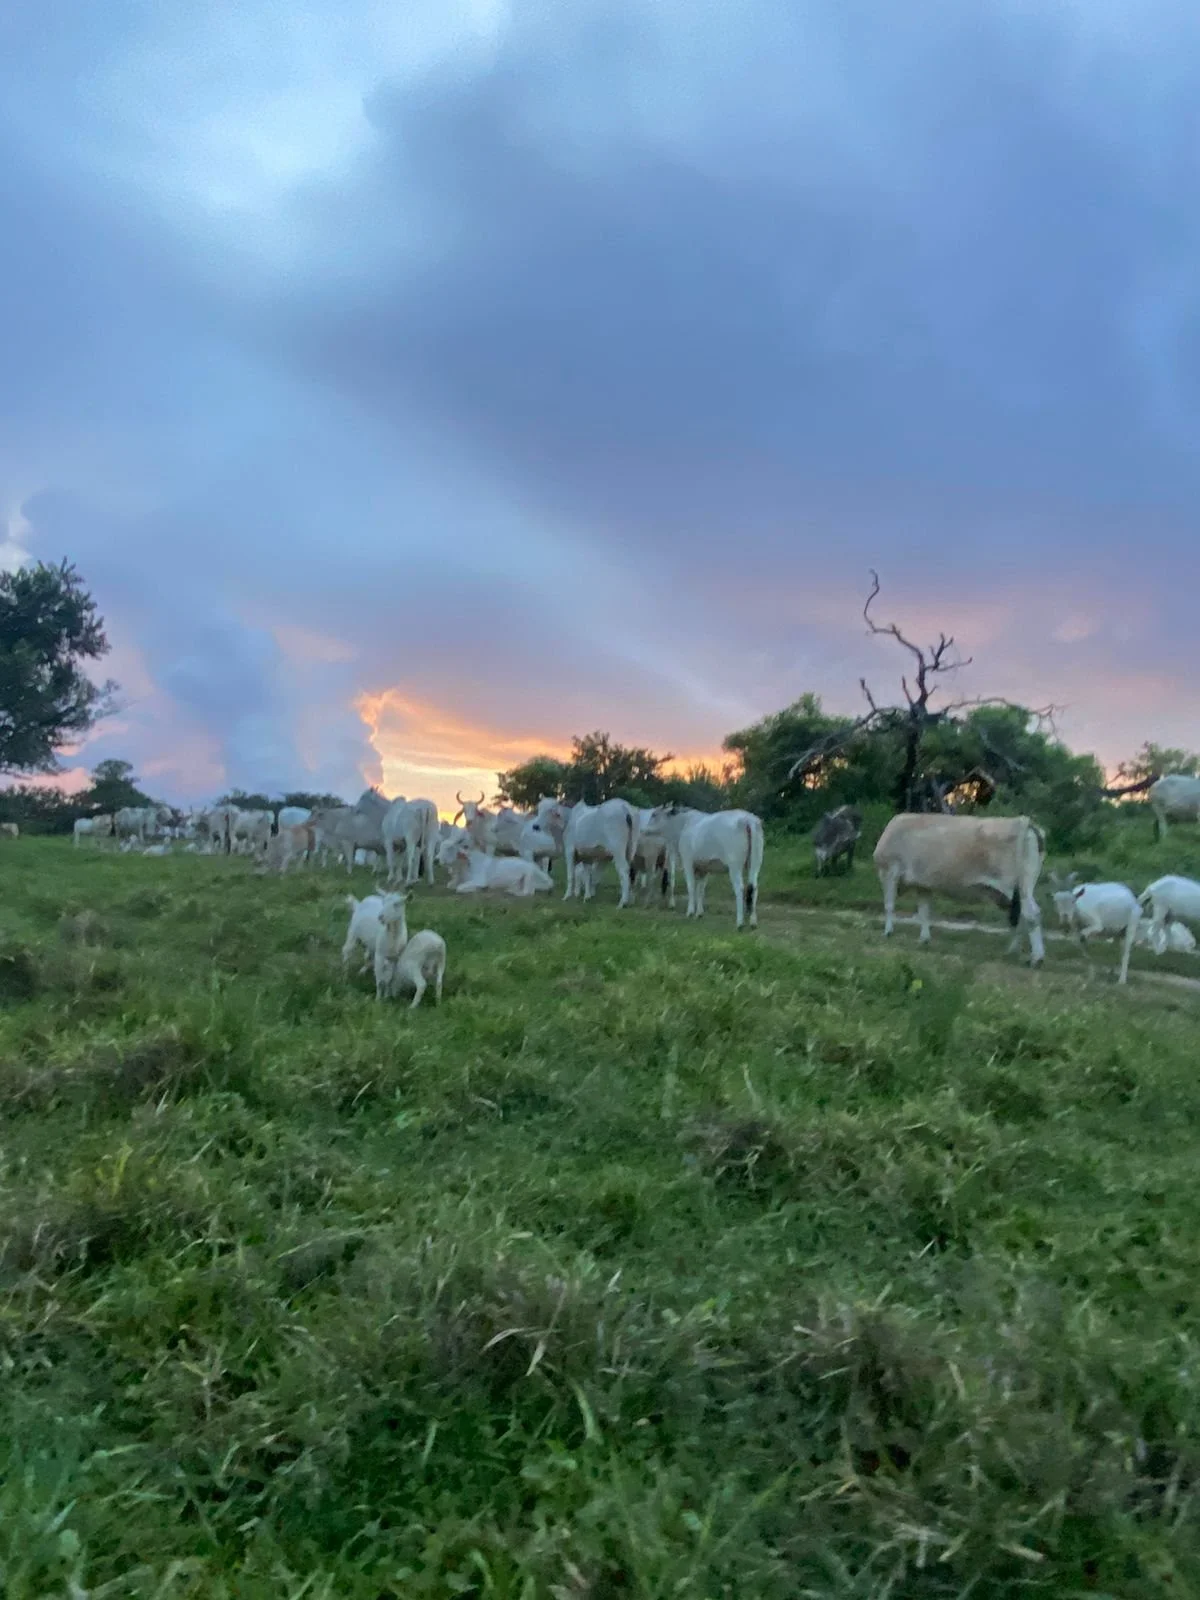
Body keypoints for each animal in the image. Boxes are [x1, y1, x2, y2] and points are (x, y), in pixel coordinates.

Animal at [872, 813, 1046, 964]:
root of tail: (1024, 821)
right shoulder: (923, 884)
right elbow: (924, 912)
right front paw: (924, 939)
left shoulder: (888, 871)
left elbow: (889, 905)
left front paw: (888, 932)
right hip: (1019, 889)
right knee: (1023, 916)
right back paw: (1013, 950)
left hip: (1021, 886)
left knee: (1032, 914)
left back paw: (1037, 958)